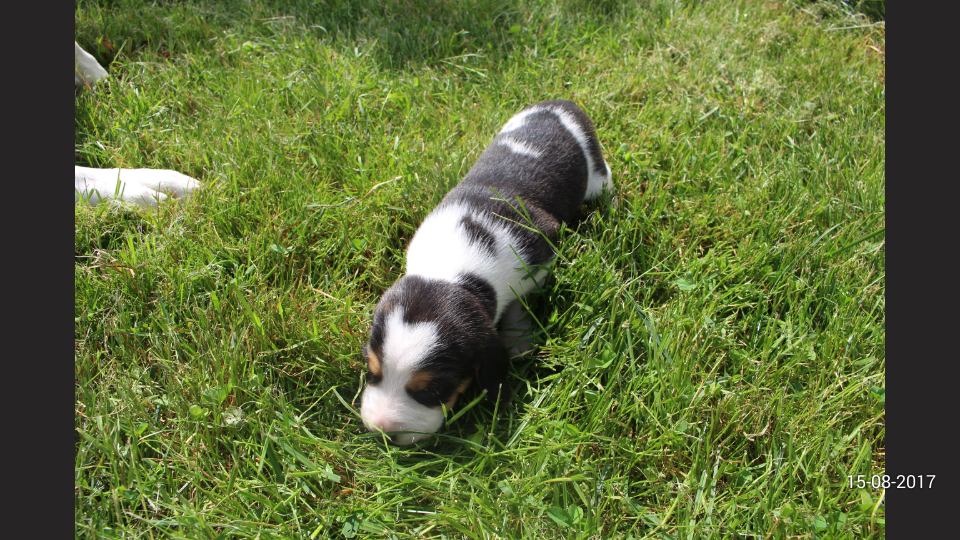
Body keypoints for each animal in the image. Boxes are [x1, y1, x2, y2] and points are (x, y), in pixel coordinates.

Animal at [359, 100, 612, 445]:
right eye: (372, 372)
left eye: (434, 389)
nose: (381, 432)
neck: (451, 273)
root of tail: (559, 104)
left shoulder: (542, 254)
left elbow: (520, 300)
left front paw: (517, 337)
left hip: (596, 171)